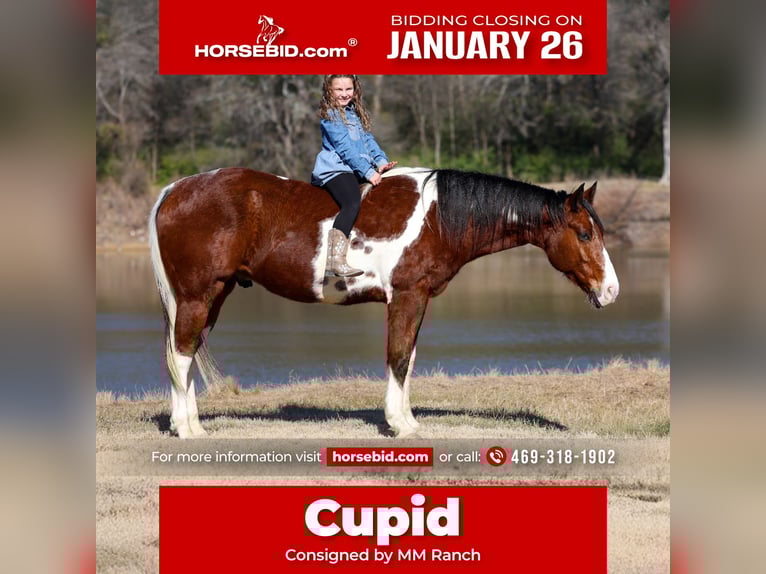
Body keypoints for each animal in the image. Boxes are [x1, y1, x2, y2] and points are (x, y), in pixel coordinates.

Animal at [148, 166, 619, 438]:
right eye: (584, 233)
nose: (612, 290)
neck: (437, 215)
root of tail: (174, 189)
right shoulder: (406, 296)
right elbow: (397, 357)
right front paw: (400, 425)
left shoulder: (418, 299)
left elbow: (407, 359)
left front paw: (407, 419)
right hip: (198, 295)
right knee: (181, 354)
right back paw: (188, 430)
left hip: (213, 294)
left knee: (182, 354)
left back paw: (187, 423)